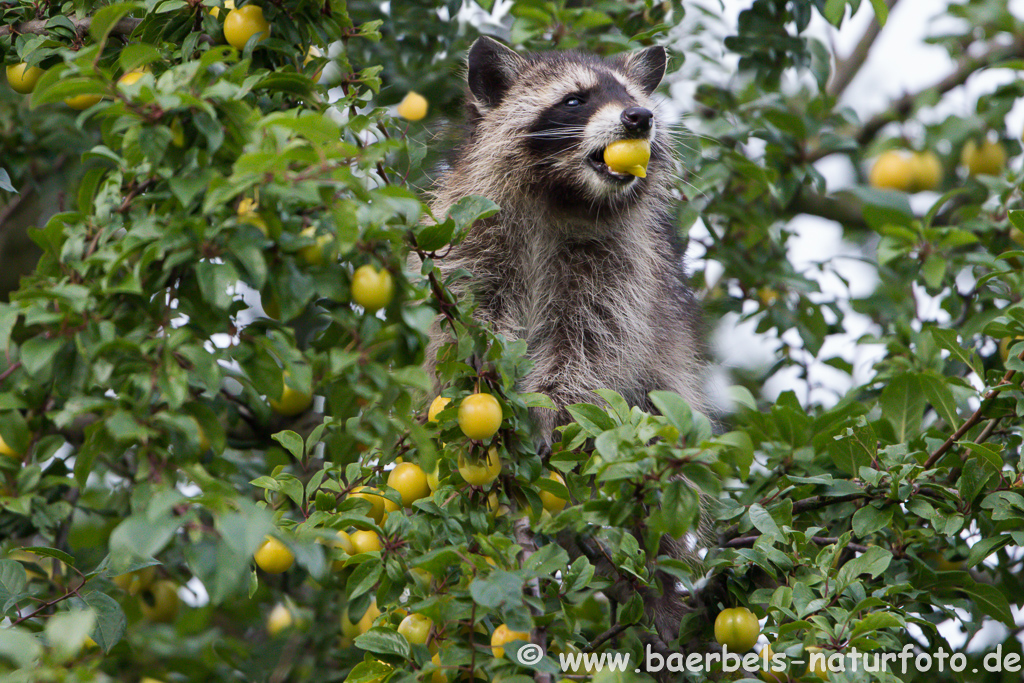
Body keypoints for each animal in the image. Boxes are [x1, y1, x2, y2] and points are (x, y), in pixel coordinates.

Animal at [423, 38, 712, 651]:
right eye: (575, 99)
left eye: (630, 95)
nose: (640, 117)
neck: (564, 195)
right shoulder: (472, 234)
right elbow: (471, 320)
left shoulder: (619, 268)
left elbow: (591, 346)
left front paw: (552, 408)